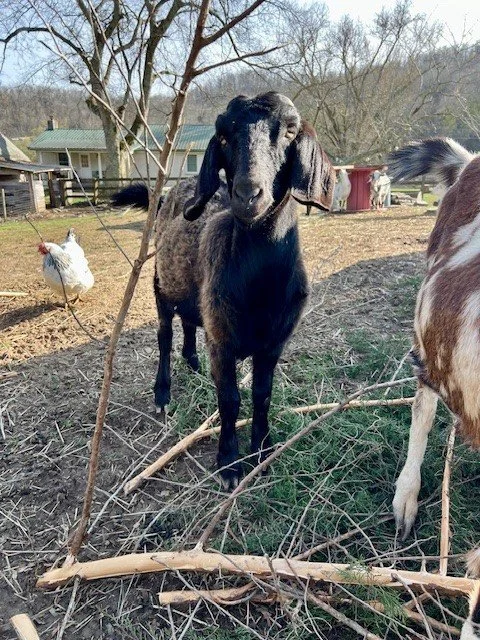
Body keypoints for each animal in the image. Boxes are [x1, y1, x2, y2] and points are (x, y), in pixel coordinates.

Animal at [113, 92, 335, 489]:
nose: (247, 194)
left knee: (188, 321)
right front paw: (229, 464)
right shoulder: (222, 339)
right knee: (165, 335)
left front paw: (262, 449)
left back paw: (192, 362)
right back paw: (162, 392)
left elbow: (262, 395)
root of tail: (174, 190)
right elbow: (229, 399)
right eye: (224, 137)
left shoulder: (274, 341)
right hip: (159, 285)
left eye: (290, 131)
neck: (260, 286)